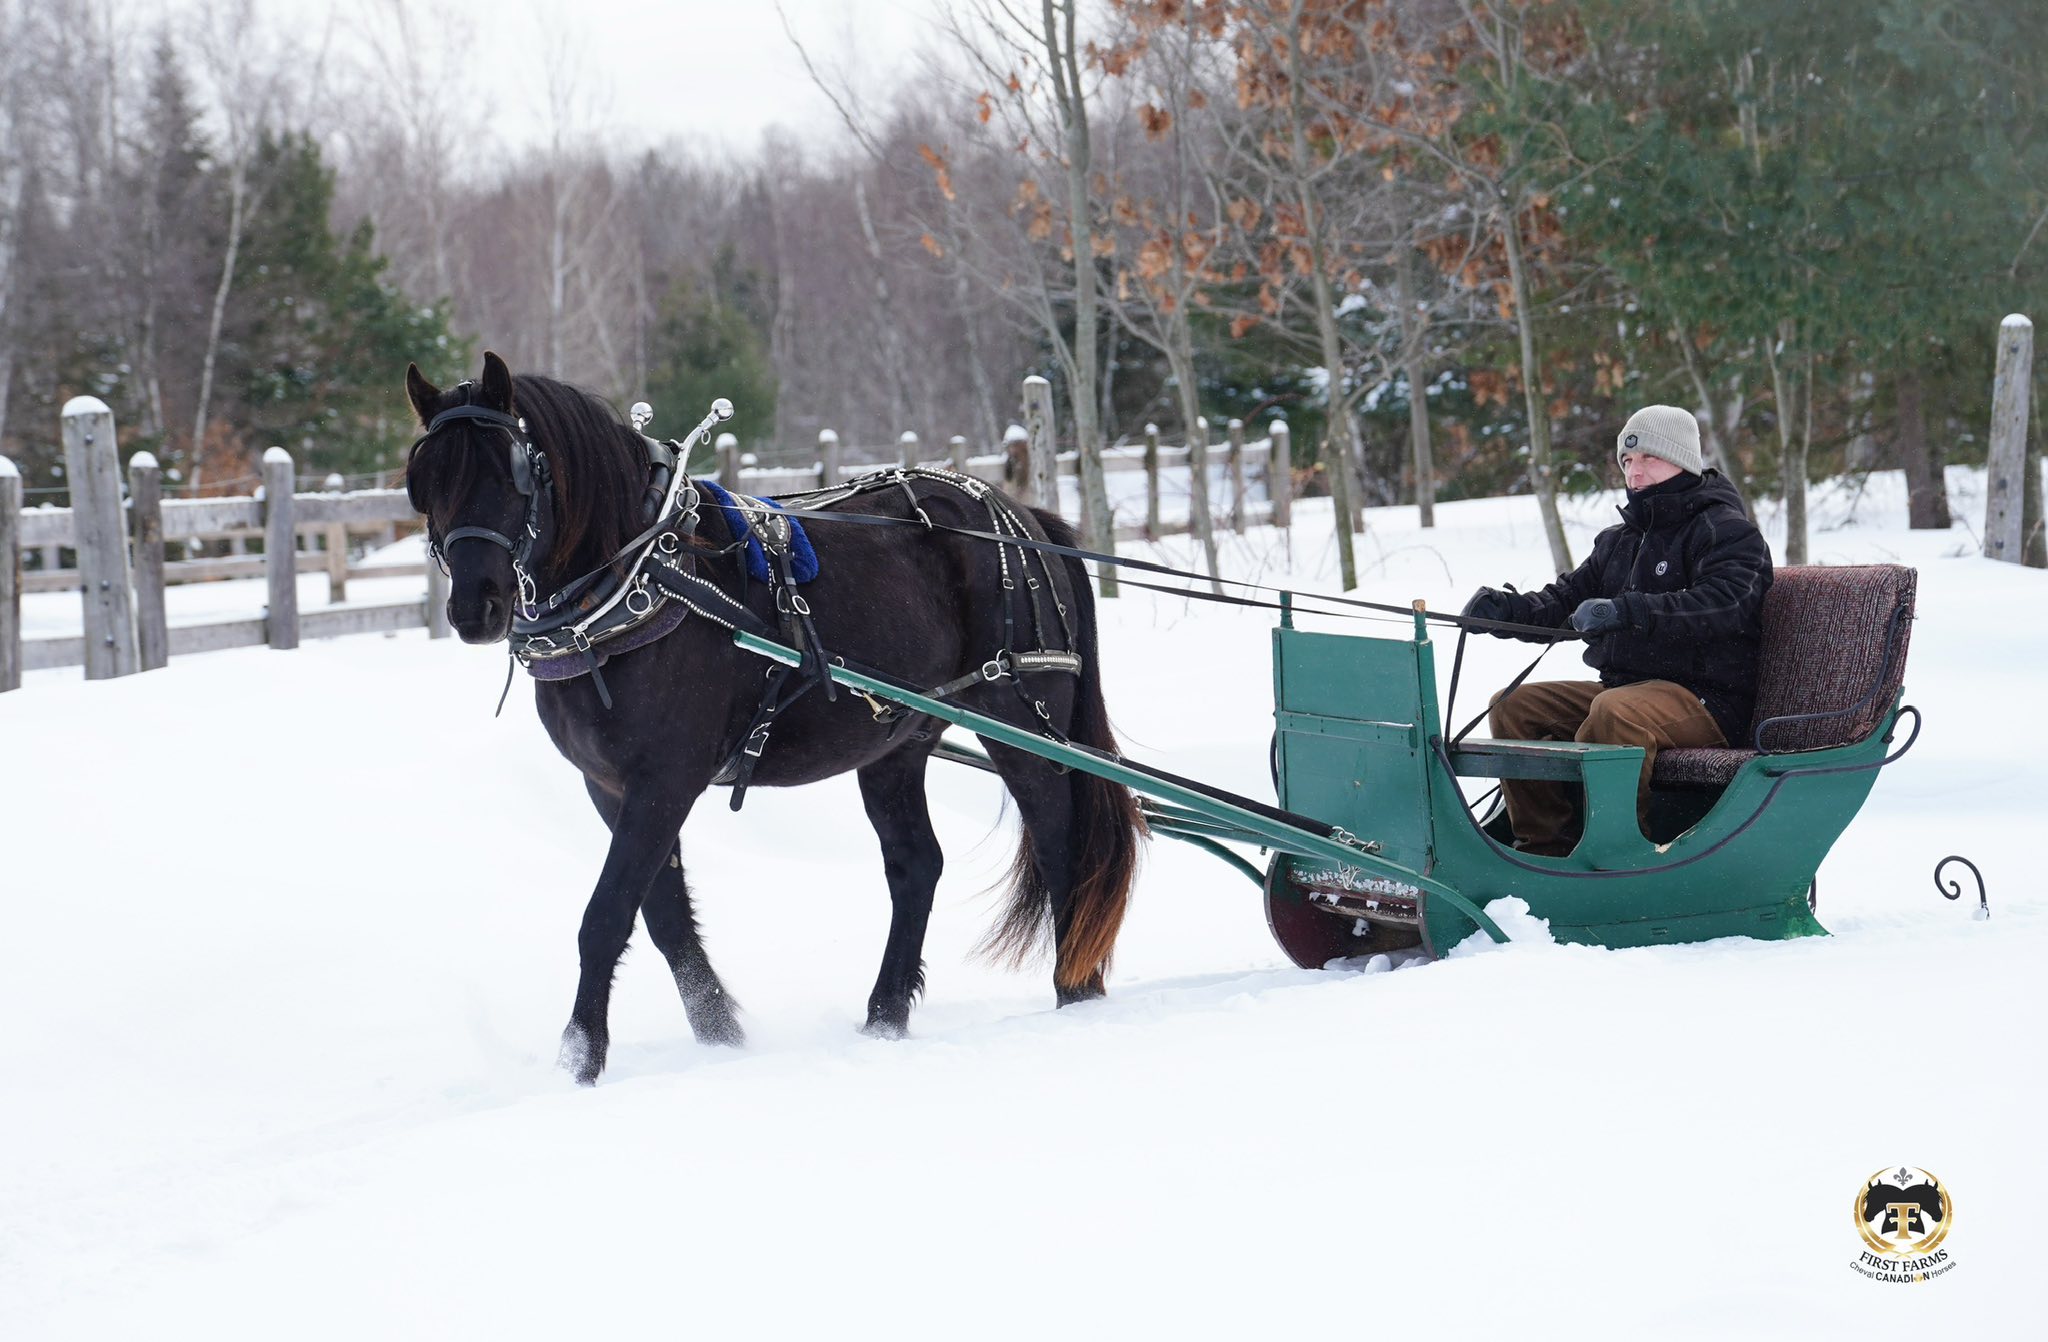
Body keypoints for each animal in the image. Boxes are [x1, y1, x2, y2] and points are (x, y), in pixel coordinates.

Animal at [403, 352, 1144, 1084]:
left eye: (510, 474)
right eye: (424, 483)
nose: (474, 607)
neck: (639, 578)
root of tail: (1023, 519)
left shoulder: (665, 779)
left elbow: (607, 914)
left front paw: (579, 1059)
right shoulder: (610, 786)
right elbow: (664, 916)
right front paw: (721, 1036)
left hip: (1025, 722)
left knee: (1060, 845)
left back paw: (1075, 994)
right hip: (896, 743)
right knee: (916, 865)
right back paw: (885, 1018)